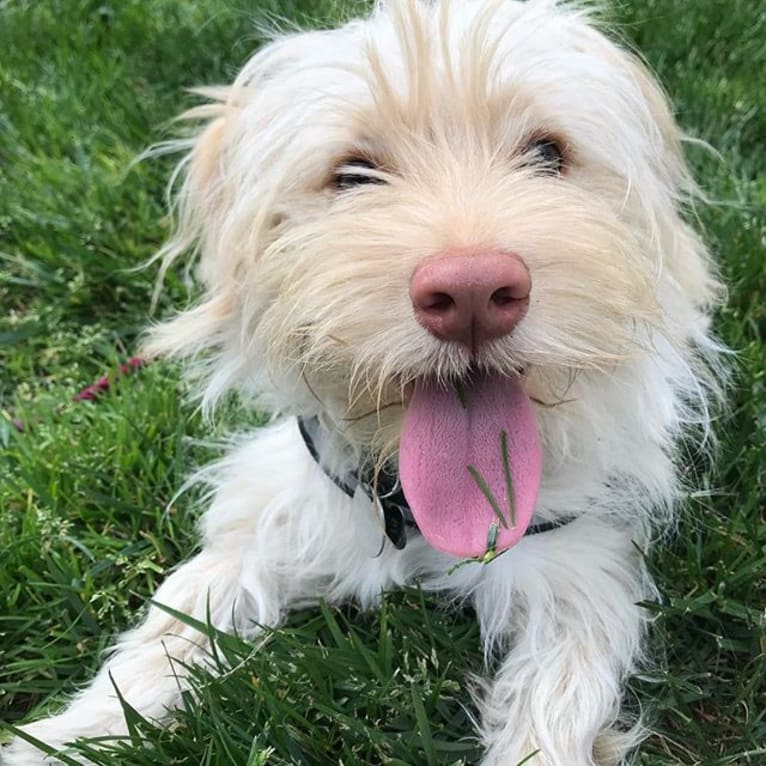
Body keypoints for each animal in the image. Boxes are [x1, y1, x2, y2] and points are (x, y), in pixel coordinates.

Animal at [7, 1, 728, 766]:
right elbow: (170, 630)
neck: (413, 511)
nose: (472, 291)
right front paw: (56, 739)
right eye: (352, 174)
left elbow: (552, 714)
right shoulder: (274, 515)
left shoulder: (578, 577)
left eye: (547, 154)